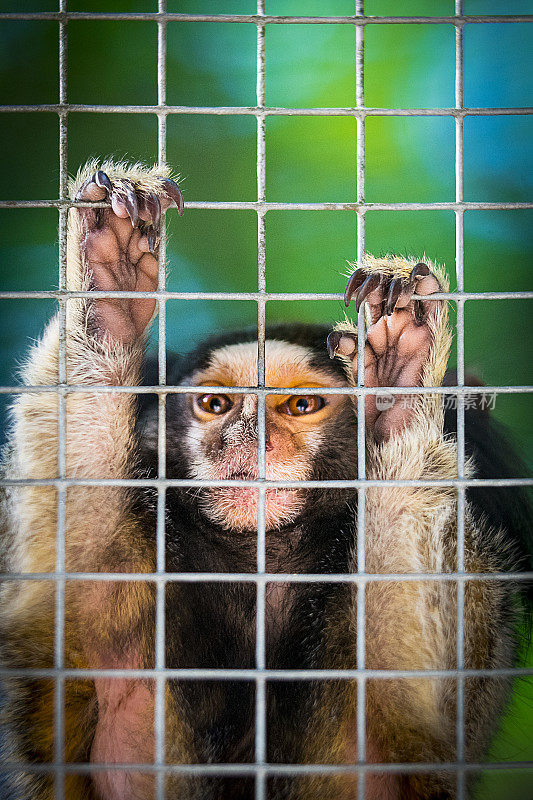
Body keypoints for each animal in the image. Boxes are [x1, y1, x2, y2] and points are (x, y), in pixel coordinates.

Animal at [0, 162, 528, 800]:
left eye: (301, 406)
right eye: (216, 405)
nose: (250, 439)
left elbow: (420, 714)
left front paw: (399, 393)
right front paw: (109, 292)